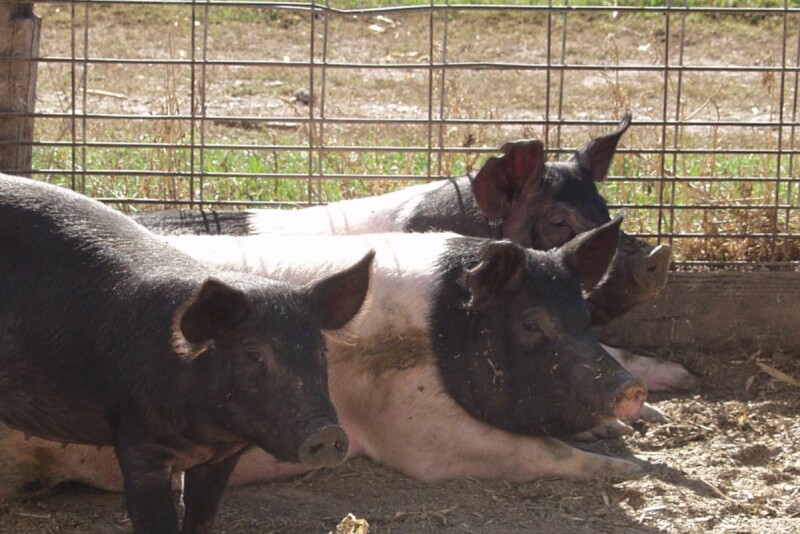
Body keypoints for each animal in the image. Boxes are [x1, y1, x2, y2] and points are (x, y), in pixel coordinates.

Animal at [0, 174, 372, 533]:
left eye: (321, 350)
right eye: (253, 353)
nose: (328, 432)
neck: (205, 433)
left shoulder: (220, 459)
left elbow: (201, 518)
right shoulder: (137, 437)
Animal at [0, 219, 649, 497]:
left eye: (585, 317)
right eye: (532, 323)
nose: (630, 387)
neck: (436, 328)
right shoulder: (410, 421)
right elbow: (530, 448)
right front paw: (627, 475)